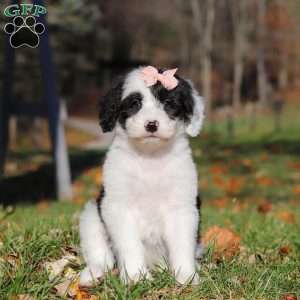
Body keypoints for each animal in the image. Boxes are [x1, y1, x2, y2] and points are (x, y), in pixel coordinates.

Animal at [79, 65, 205, 286]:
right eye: (135, 103)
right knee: (100, 253)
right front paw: (135, 276)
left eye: (168, 103)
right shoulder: (118, 207)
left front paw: (186, 276)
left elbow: (182, 244)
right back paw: (93, 274)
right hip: (91, 214)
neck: (150, 157)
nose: (151, 125)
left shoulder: (181, 207)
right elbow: (129, 244)